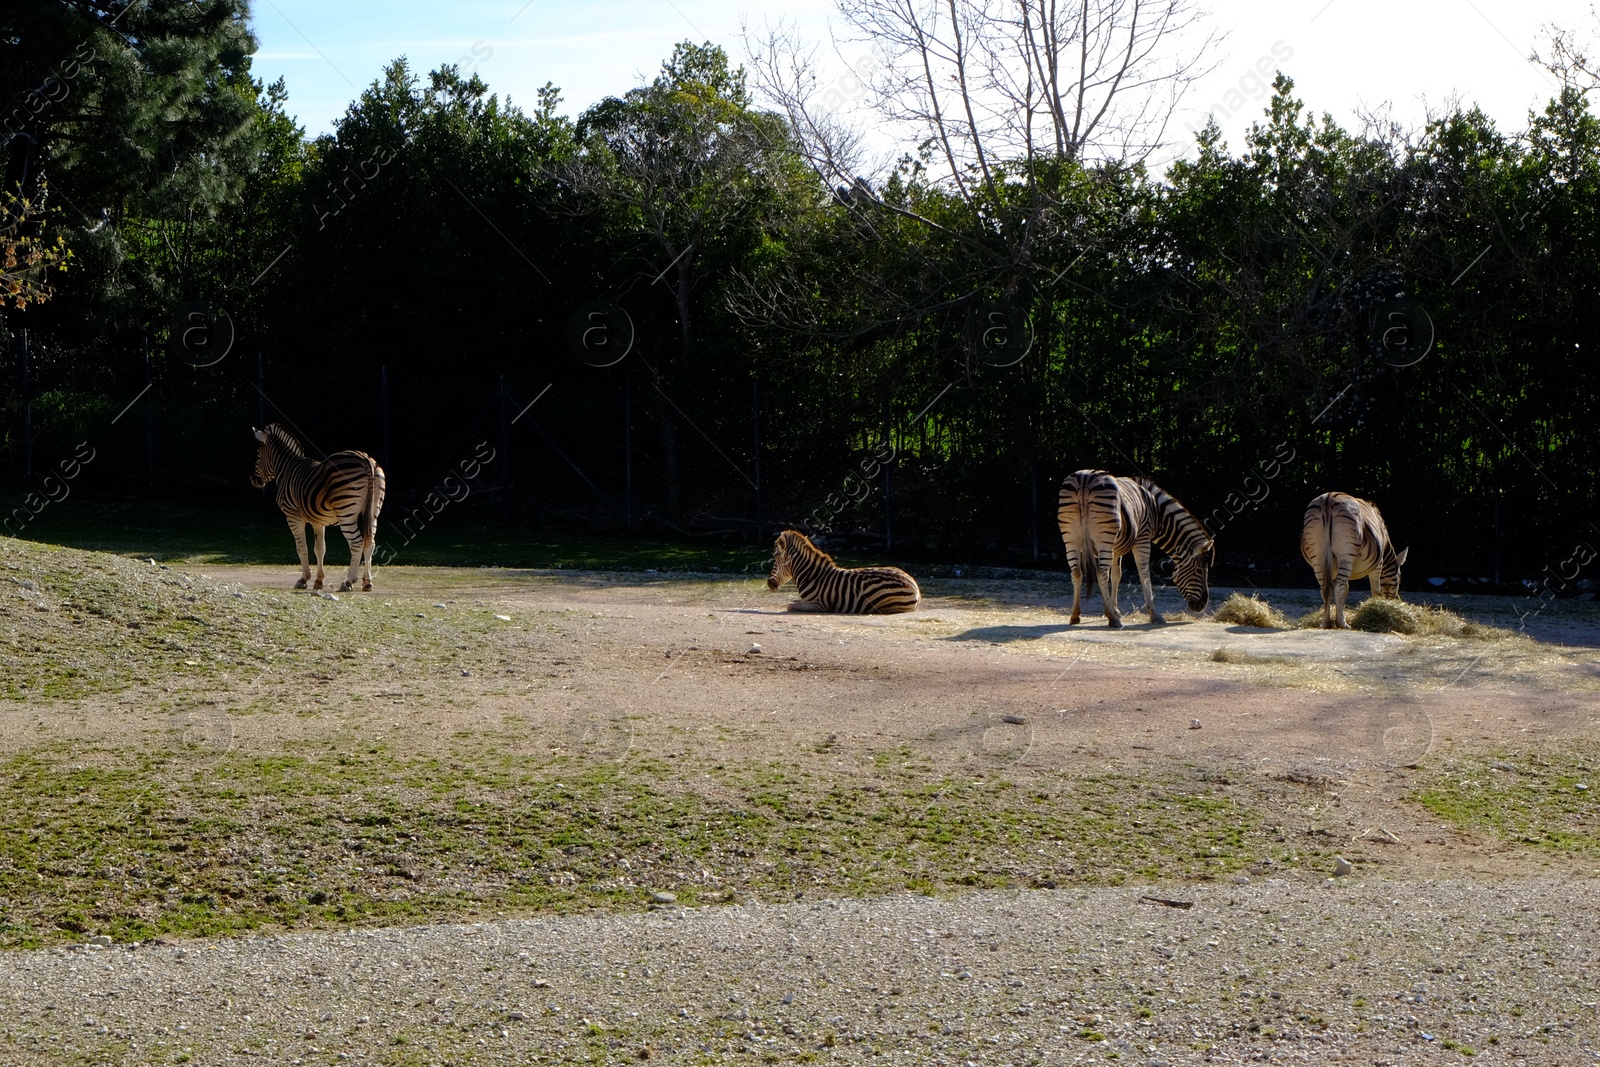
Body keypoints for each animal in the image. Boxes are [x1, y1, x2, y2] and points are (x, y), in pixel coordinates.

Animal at [251, 422, 388, 591]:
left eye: (258, 454)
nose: (253, 480)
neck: (287, 468)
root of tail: (365, 458)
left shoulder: (293, 516)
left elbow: (301, 547)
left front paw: (303, 579)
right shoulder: (318, 520)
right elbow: (320, 549)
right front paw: (318, 581)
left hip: (346, 513)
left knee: (356, 543)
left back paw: (348, 581)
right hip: (373, 511)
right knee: (370, 542)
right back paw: (367, 582)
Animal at [764, 531, 921, 614]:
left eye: (775, 559)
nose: (769, 583)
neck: (812, 576)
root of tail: (914, 584)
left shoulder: (818, 604)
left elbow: (789, 605)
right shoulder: (807, 600)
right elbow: (791, 601)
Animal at [1056, 470, 1216, 627]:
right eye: (1199, 570)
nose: (1202, 606)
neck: (1156, 511)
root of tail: (1085, 478)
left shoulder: (1116, 547)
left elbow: (1116, 575)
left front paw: (1113, 609)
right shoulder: (1142, 538)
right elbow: (1144, 574)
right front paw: (1153, 614)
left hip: (1070, 537)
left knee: (1077, 573)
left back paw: (1075, 615)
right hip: (1103, 537)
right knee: (1100, 572)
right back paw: (1114, 621)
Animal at [1299, 495, 1414, 630]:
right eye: (1400, 578)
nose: (1397, 599)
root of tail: (1328, 499)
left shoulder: (1333, 568)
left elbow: (1344, 590)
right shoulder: (1379, 563)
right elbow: (1375, 590)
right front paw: (1375, 608)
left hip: (1319, 557)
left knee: (1325, 588)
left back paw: (1327, 623)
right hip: (1346, 554)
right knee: (1338, 587)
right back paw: (1342, 624)